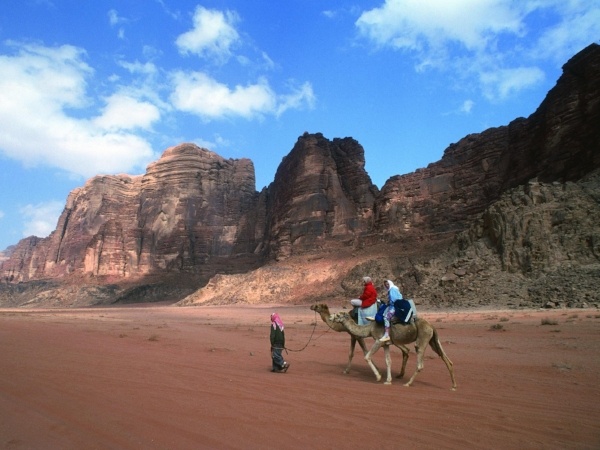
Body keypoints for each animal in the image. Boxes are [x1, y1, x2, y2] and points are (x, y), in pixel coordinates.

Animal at [330, 310, 458, 390]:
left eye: (338, 315)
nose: (331, 317)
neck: (369, 329)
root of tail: (431, 325)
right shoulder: (385, 344)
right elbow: (388, 361)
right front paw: (388, 381)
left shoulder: (378, 340)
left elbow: (367, 357)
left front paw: (378, 377)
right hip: (433, 340)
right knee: (446, 359)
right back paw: (453, 386)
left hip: (423, 338)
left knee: (420, 362)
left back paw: (407, 383)